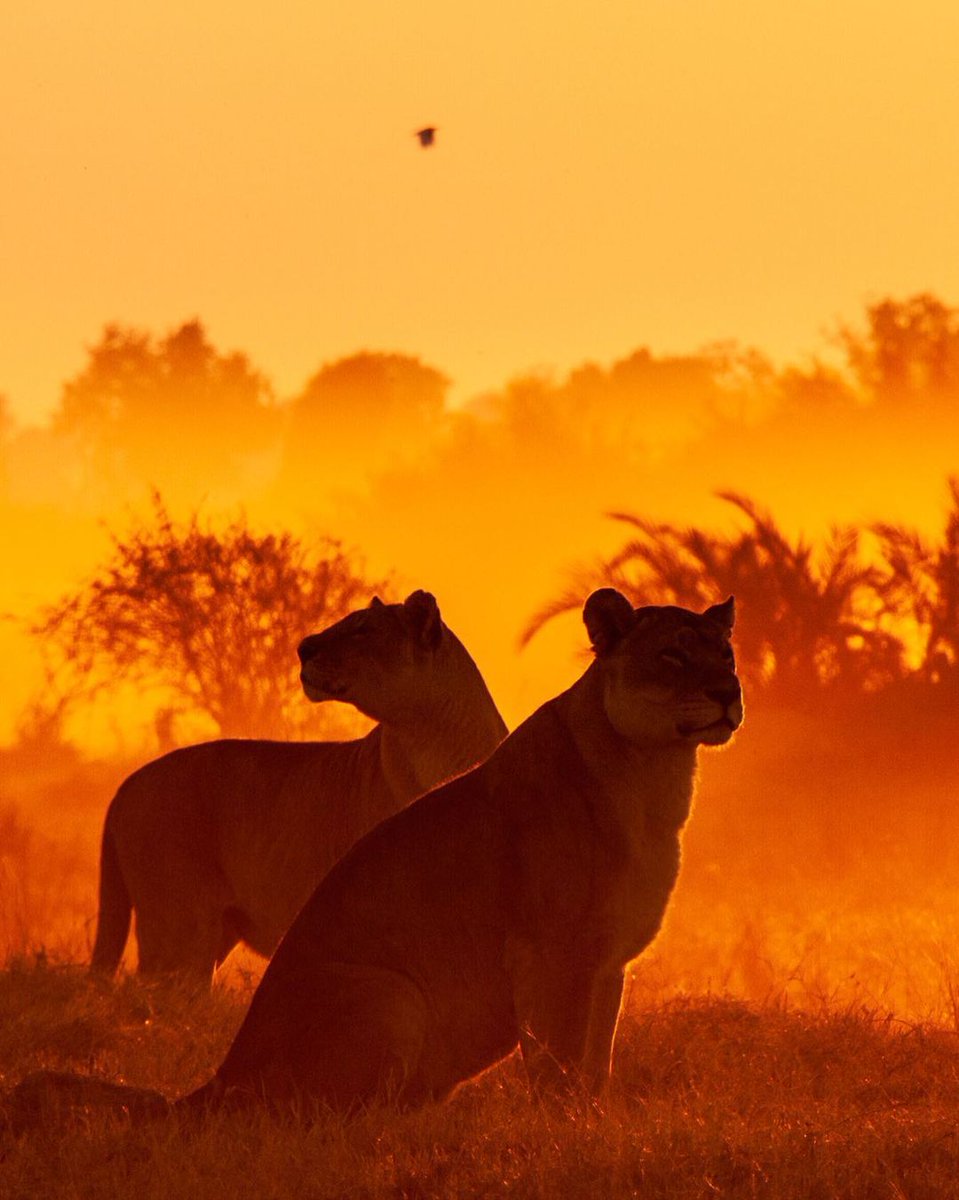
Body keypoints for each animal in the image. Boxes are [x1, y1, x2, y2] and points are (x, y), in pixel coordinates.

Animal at [177, 589, 743, 1112]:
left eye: (726, 655)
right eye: (673, 655)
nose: (730, 692)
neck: (655, 778)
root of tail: (224, 1074)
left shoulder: (607, 965)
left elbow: (595, 1064)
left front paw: (596, 1123)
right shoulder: (550, 954)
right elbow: (559, 1066)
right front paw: (565, 1132)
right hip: (394, 995)